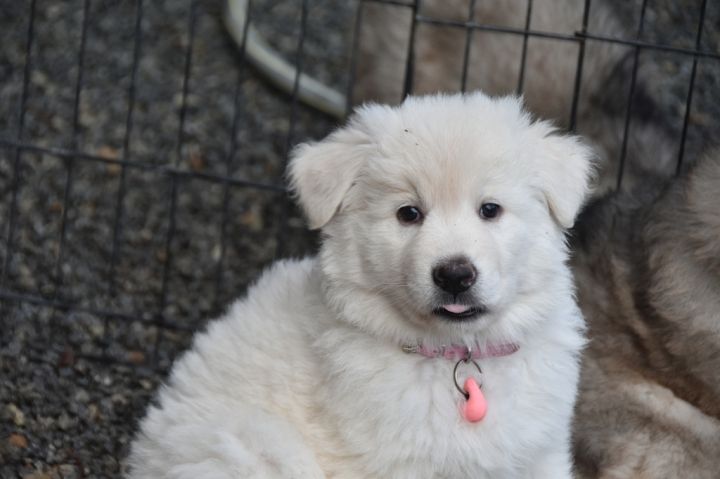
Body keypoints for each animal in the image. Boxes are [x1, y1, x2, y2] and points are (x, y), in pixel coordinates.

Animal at [128, 92, 594, 478]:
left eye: (490, 209)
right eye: (408, 213)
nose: (455, 275)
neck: (456, 355)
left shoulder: (539, 454)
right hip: (253, 446)